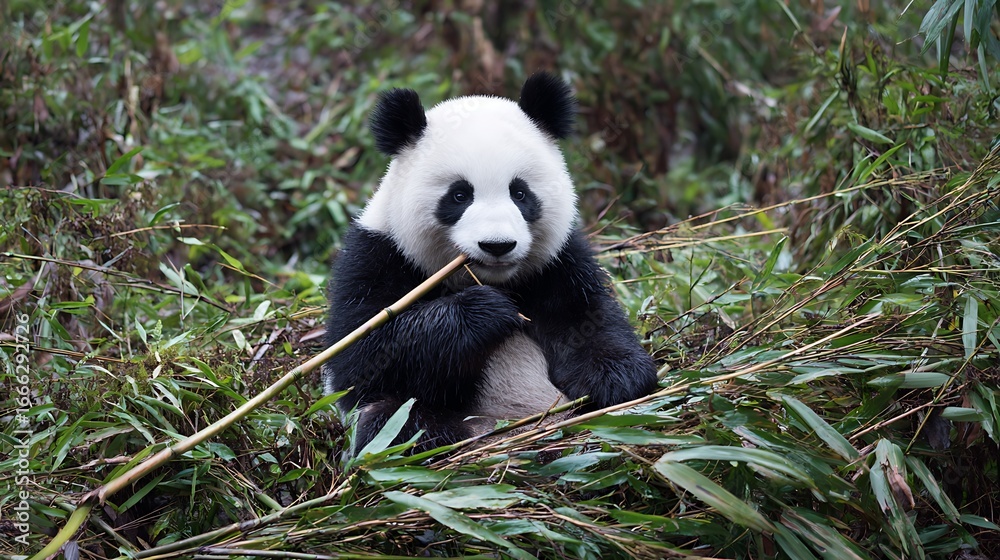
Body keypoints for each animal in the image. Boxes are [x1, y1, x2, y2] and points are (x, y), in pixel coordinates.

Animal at [323, 73, 658, 453]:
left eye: (520, 193)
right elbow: (361, 359)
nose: (497, 245)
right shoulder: (378, 254)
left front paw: (617, 378)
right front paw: (486, 311)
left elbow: (588, 320)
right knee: (390, 420)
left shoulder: (558, 262)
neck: (484, 278)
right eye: (459, 195)